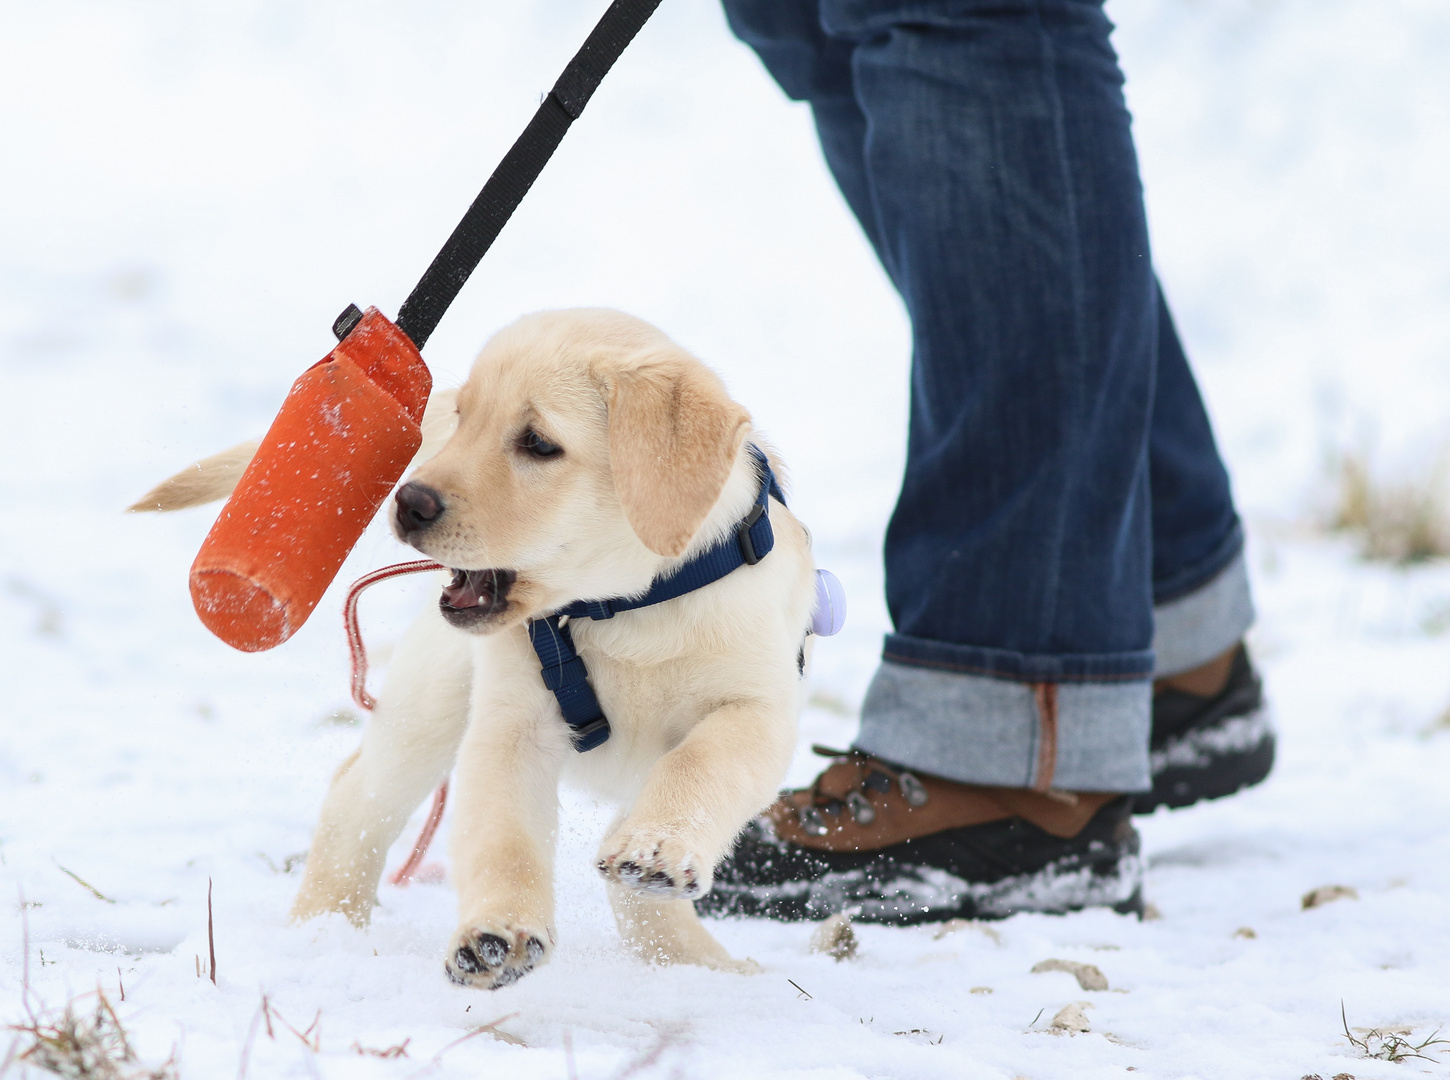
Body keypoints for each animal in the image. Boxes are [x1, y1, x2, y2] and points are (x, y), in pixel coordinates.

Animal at [137, 305, 823, 985]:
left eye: (539, 443)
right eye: (465, 418)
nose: (407, 501)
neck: (623, 610)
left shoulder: (757, 709)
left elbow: (699, 764)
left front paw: (655, 848)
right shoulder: (512, 726)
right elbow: (504, 839)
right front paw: (498, 933)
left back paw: (700, 960)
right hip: (430, 707)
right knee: (355, 801)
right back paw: (323, 929)